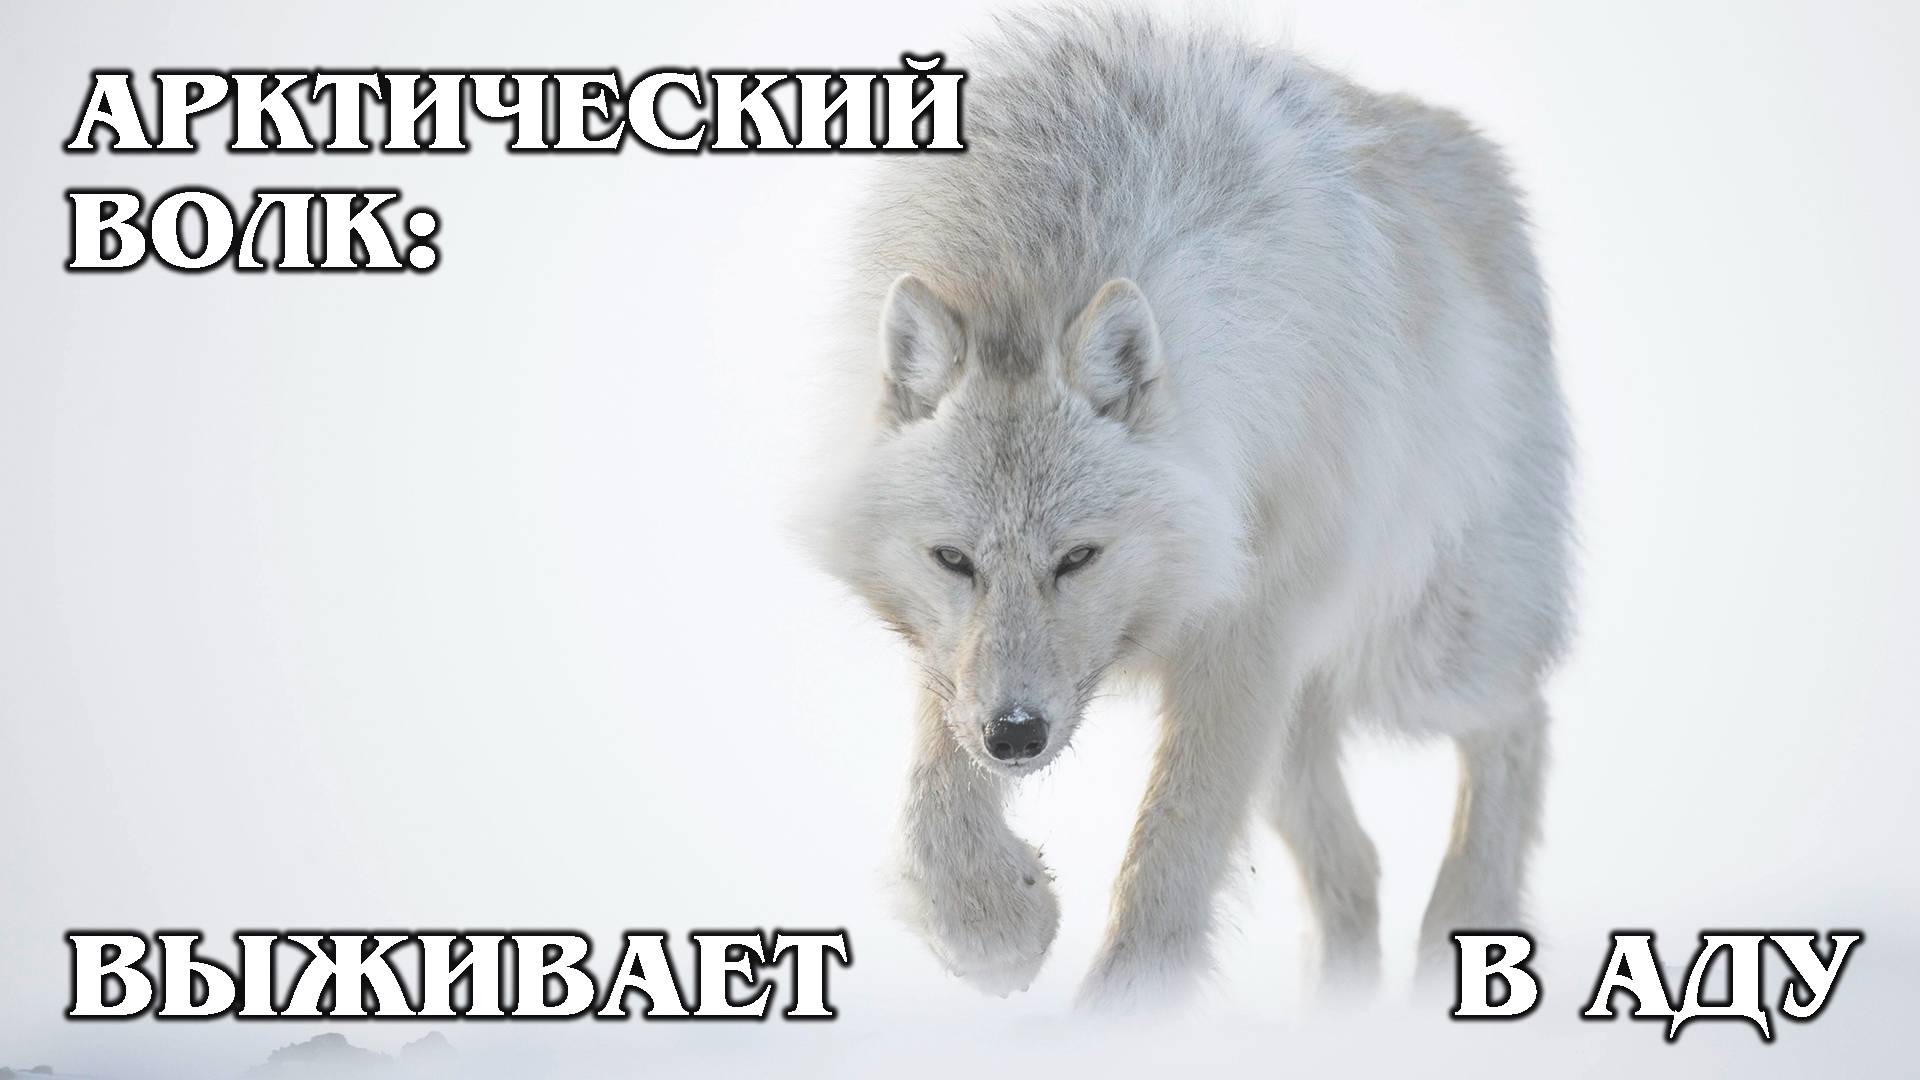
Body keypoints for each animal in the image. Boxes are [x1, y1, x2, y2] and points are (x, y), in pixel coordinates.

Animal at [809, 8, 1572, 1009]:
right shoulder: (956, 657)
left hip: (1416, 654)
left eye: (1078, 558)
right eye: (954, 561)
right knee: (1356, 864)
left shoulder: (1248, 623)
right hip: (1303, 717)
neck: (1039, 251)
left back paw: (1465, 922)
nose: (1016, 737)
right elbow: (936, 800)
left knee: (1519, 718)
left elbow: (1172, 851)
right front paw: (994, 927)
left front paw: (1118, 1016)